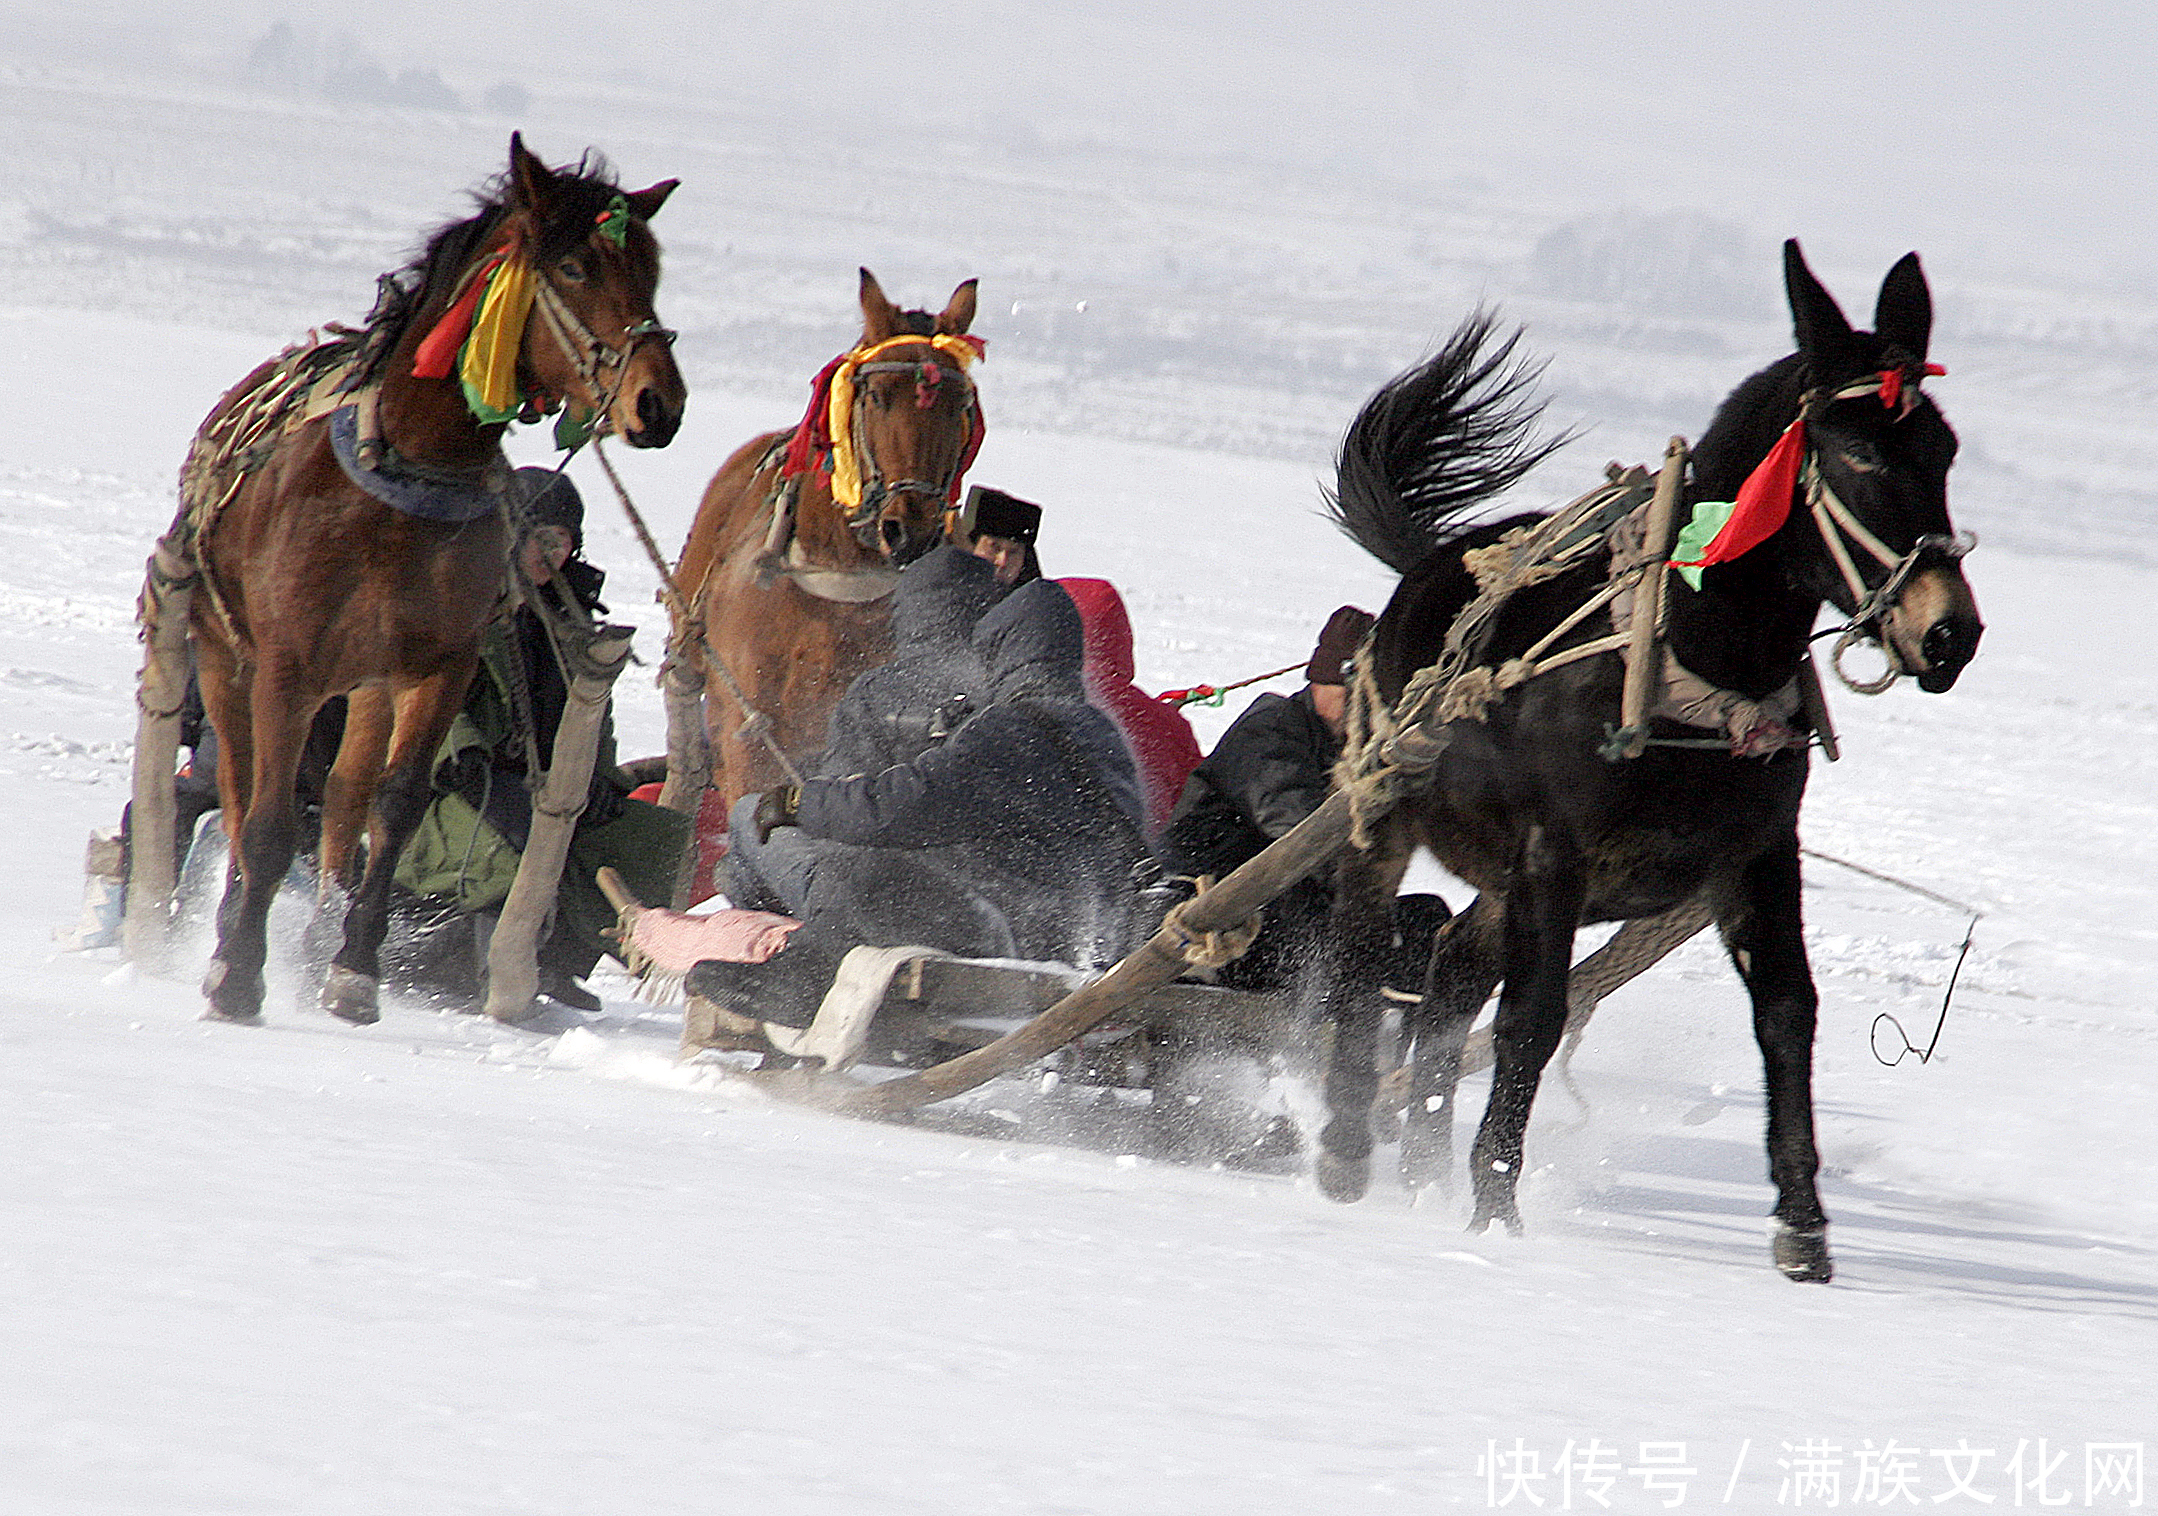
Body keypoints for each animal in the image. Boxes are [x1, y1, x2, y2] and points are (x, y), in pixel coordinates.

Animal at [193, 136, 686, 1026]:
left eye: (651, 270)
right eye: (574, 268)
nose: (657, 402)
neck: (399, 489)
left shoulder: (438, 666)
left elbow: (393, 809)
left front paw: (353, 972)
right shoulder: (285, 668)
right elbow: (272, 821)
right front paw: (240, 974)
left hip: (366, 685)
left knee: (345, 799)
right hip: (227, 657)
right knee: (243, 795)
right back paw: (226, 937)